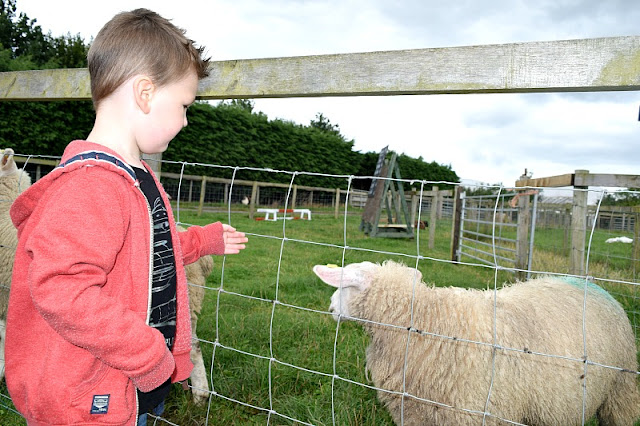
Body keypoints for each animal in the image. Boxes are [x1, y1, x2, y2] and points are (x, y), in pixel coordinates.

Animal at [313, 260, 640, 426]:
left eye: (344, 286)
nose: (330, 309)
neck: (428, 321)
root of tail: (593, 284)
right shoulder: (417, 414)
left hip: (620, 391)